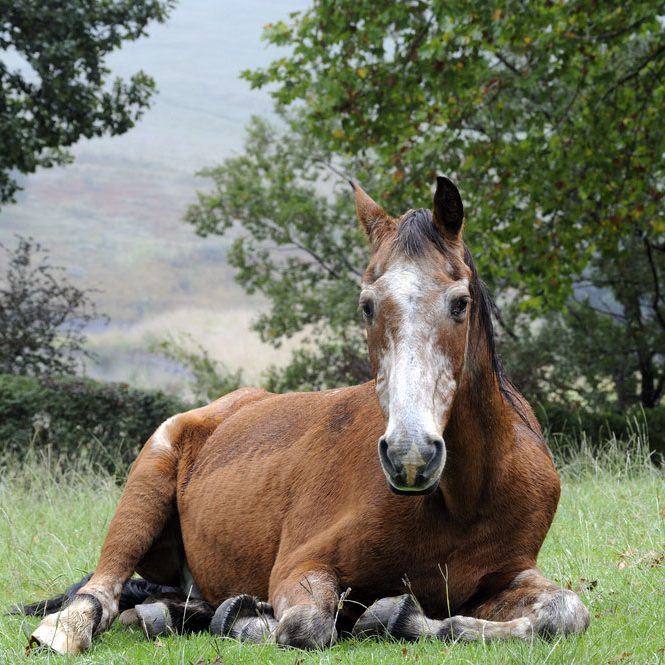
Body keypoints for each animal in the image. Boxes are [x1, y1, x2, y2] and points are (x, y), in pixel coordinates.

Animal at [23, 176, 589, 655]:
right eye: (367, 305)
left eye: (460, 302)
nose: (410, 456)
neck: (463, 498)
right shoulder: (301, 564)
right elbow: (306, 625)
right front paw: (254, 620)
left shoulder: (506, 577)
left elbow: (565, 612)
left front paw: (395, 616)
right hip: (144, 487)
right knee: (102, 590)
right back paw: (75, 628)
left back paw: (177, 613)